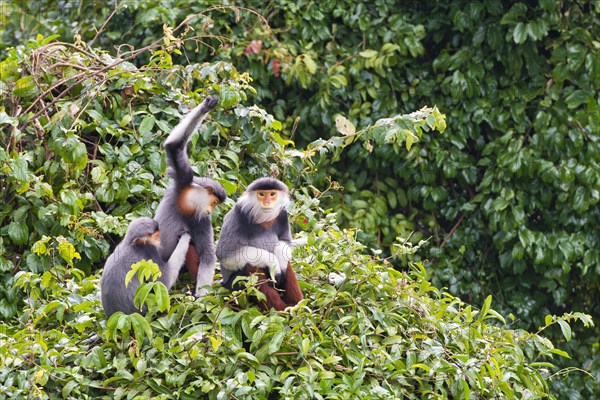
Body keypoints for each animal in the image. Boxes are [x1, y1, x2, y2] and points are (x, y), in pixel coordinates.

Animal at [155, 97, 227, 296]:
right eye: (215, 202)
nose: (211, 210)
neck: (188, 204)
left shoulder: (201, 219)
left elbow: (207, 255)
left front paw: (201, 298)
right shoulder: (182, 180)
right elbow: (174, 146)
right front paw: (205, 107)